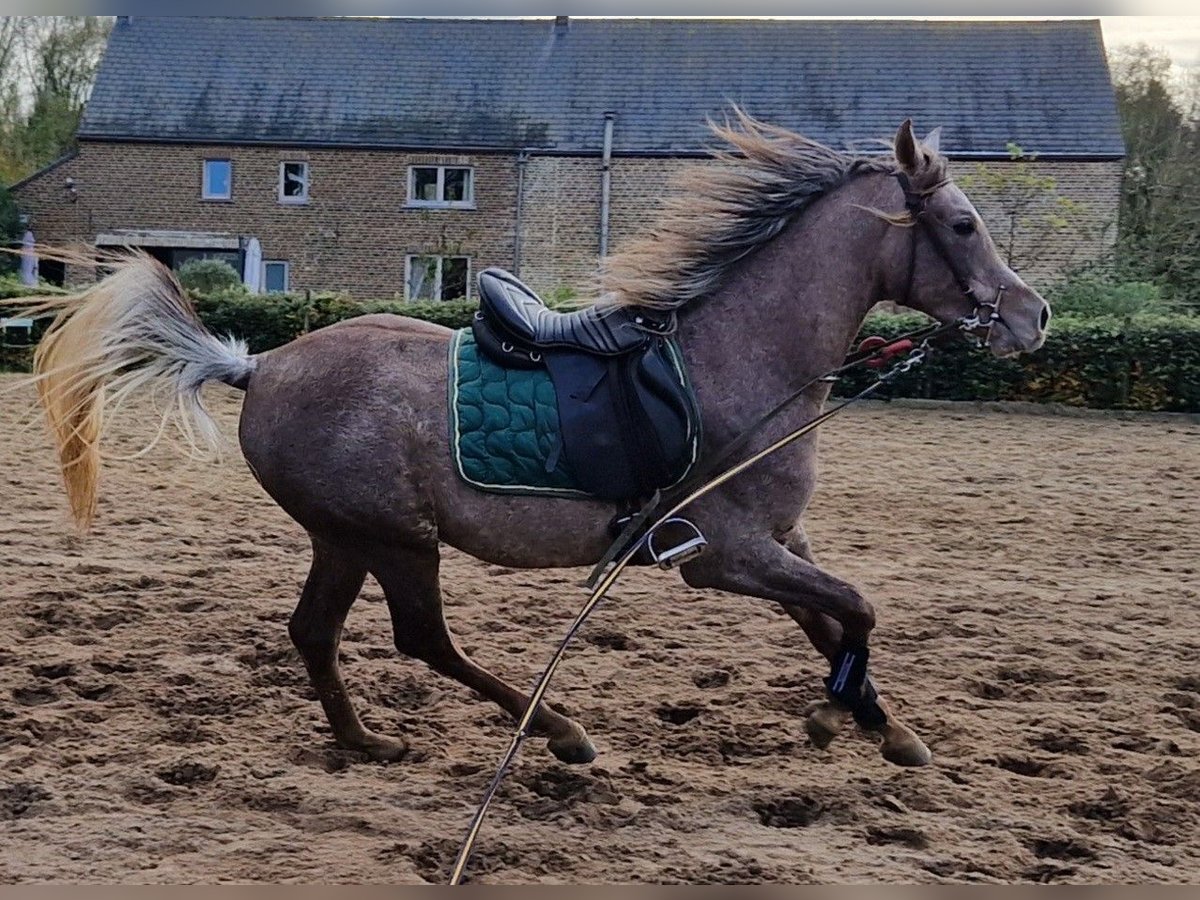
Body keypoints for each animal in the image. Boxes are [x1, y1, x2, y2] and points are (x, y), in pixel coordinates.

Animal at [21, 116, 1051, 772]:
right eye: (962, 224)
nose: (1033, 317)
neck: (740, 360)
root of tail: (261, 367)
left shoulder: (777, 543)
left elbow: (831, 619)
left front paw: (878, 725)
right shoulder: (724, 557)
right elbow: (858, 610)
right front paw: (842, 717)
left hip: (345, 537)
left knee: (316, 631)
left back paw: (363, 742)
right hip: (395, 538)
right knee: (421, 639)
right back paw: (557, 729)